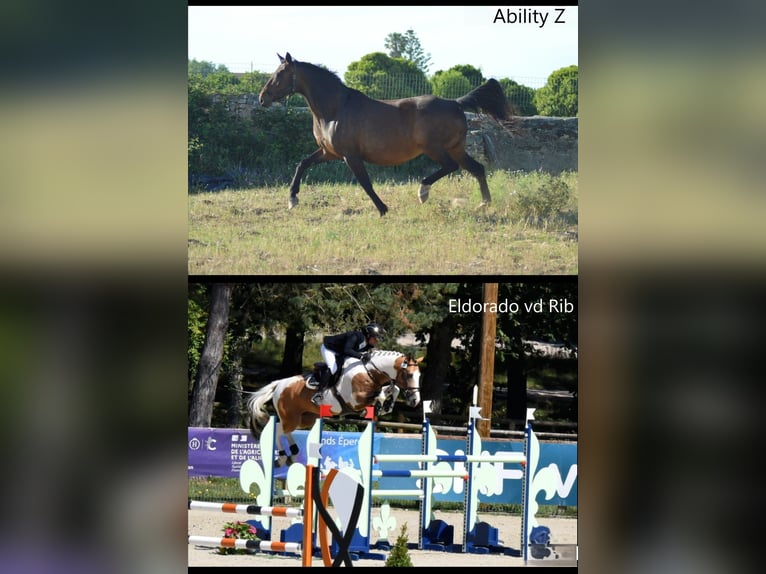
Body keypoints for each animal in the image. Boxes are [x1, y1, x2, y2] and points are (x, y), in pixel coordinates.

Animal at [248, 352, 424, 468]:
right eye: (409, 375)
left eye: (419, 376)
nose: (415, 401)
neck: (369, 372)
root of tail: (279, 384)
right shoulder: (355, 400)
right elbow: (380, 394)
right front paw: (378, 407)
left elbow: (394, 389)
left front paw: (386, 407)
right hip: (290, 417)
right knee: (278, 430)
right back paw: (283, 458)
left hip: (304, 419)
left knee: (284, 430)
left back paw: (293, 453)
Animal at [260, 53, 516, 218]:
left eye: (280, 74)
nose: (262, 98)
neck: (335, 110)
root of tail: (455, 103)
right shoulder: (328, 152)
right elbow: (302, 164)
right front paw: (292, 199)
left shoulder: (350, 156)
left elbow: (365, 183)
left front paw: (383, 209)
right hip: (457, 148)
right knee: (477, 169)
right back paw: (483, 204)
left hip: (436, 149)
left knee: (451, 167)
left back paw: (423, 192)